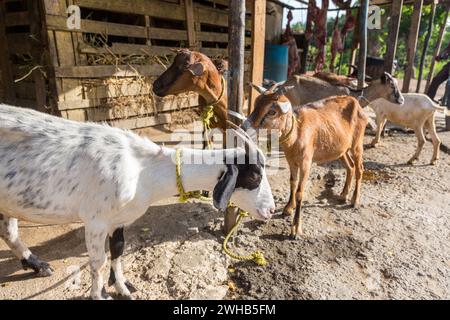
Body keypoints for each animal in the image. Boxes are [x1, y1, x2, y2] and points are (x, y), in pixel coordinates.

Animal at [0, 103, 274, 300]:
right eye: (254, 176)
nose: (270, 210)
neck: (144, 170)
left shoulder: (119, 220)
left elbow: (118, 250)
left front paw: (122, 287)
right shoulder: (96, 221)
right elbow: (98, 262)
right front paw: (100, 295)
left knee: (8, 231)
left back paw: (36, 264)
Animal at [243, 88, 370, 240]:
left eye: (272, 111)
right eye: (256, 104)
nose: (244, 127)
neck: (296, 134)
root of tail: (356, 103)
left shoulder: (306, 163)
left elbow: (299, 192)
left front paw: (296, 230)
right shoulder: (291, 160)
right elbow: (292, 182)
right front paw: (288, 208)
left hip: (357, 144)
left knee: (359, 168)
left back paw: (354, 201)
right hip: (341, 149)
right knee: (350, 166)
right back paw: (343, 196)